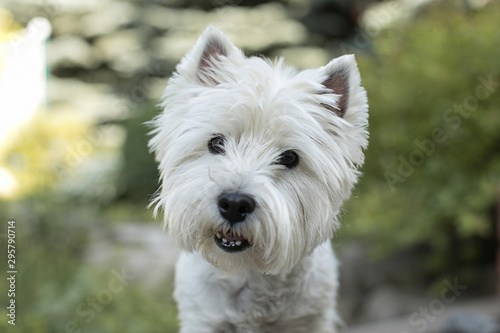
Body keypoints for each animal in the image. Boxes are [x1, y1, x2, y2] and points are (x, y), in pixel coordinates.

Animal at [148, 24, 368, 330]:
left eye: (289, 158)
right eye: (216, 143)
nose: (234, 204)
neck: (249, 273)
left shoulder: (310, 319)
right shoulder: (202, 318)